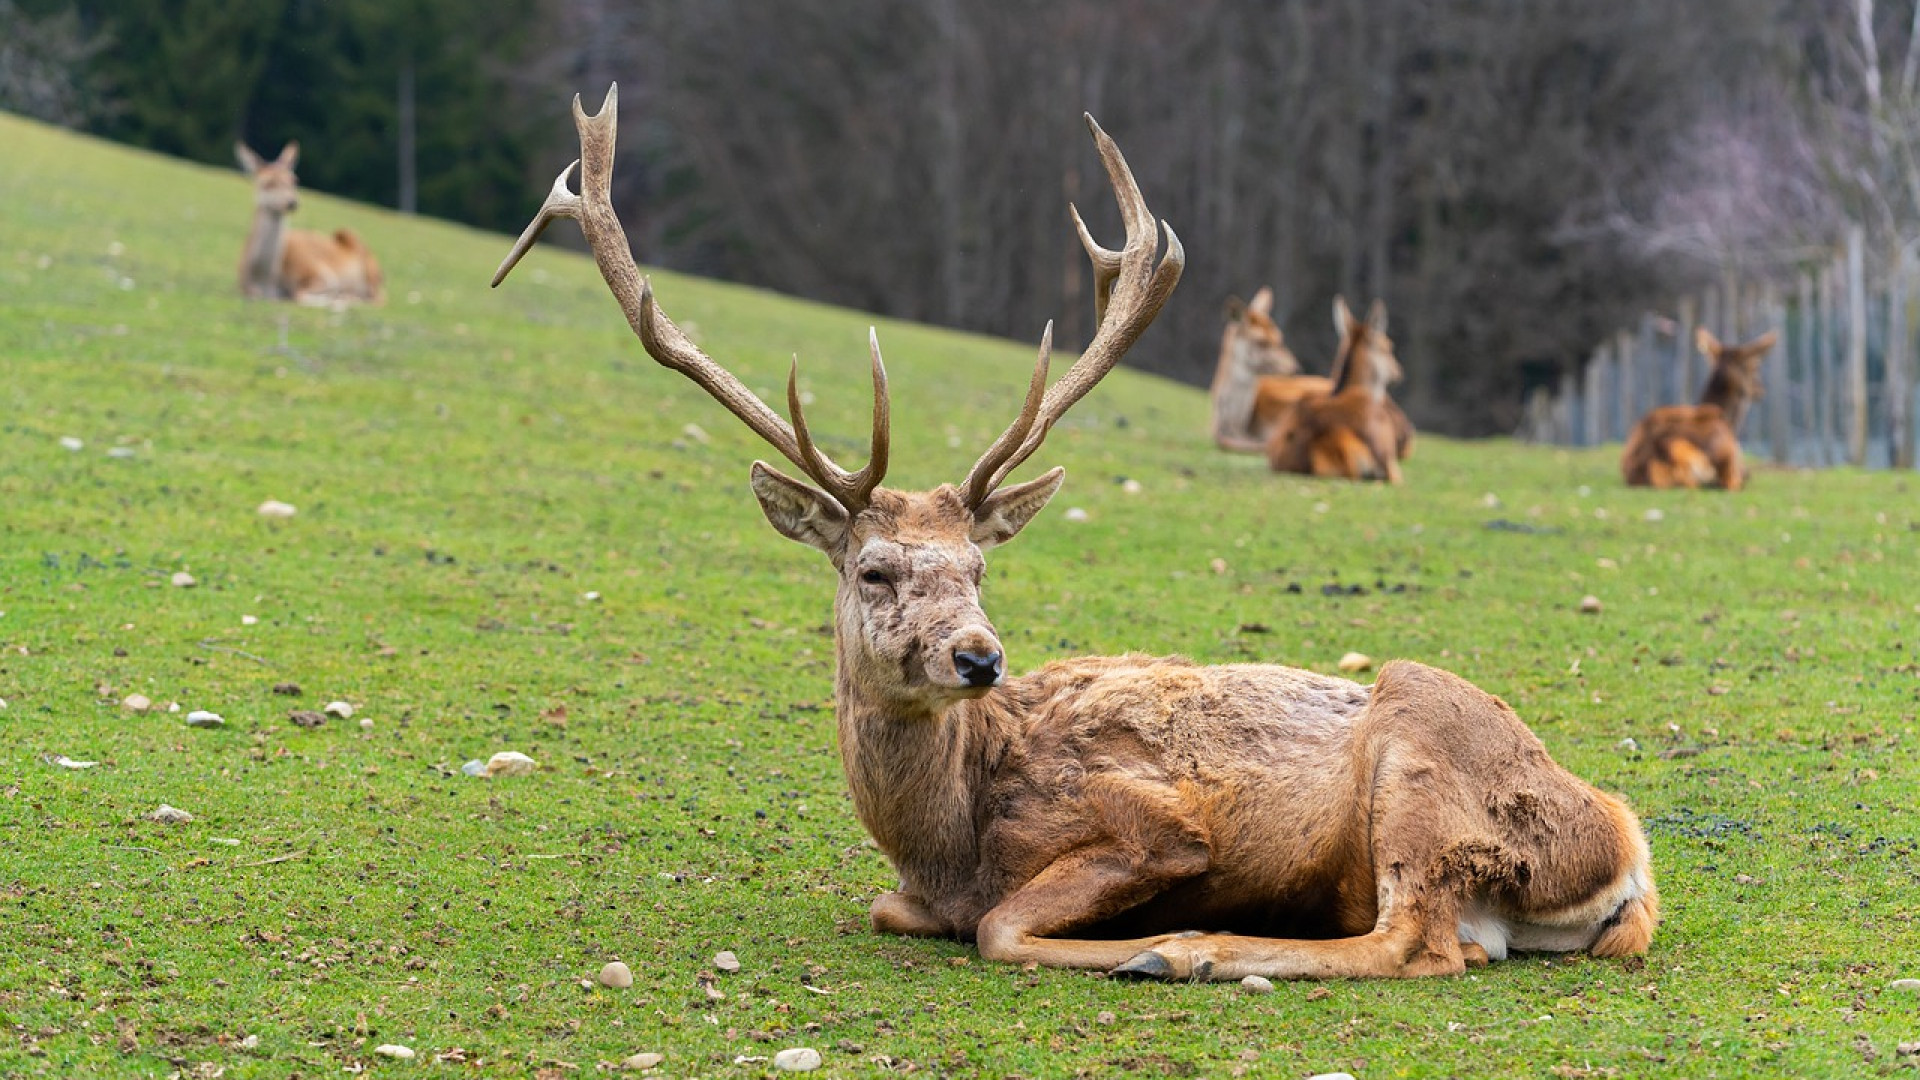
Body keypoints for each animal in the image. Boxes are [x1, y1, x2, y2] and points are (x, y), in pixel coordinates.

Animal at [232, 141, 382, 305]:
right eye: (267, 183)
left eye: (294, 180)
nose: (292, 202)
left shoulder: (323, 275)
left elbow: (300, 295)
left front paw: (337, 301)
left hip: (368, 268)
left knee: (379, 299)